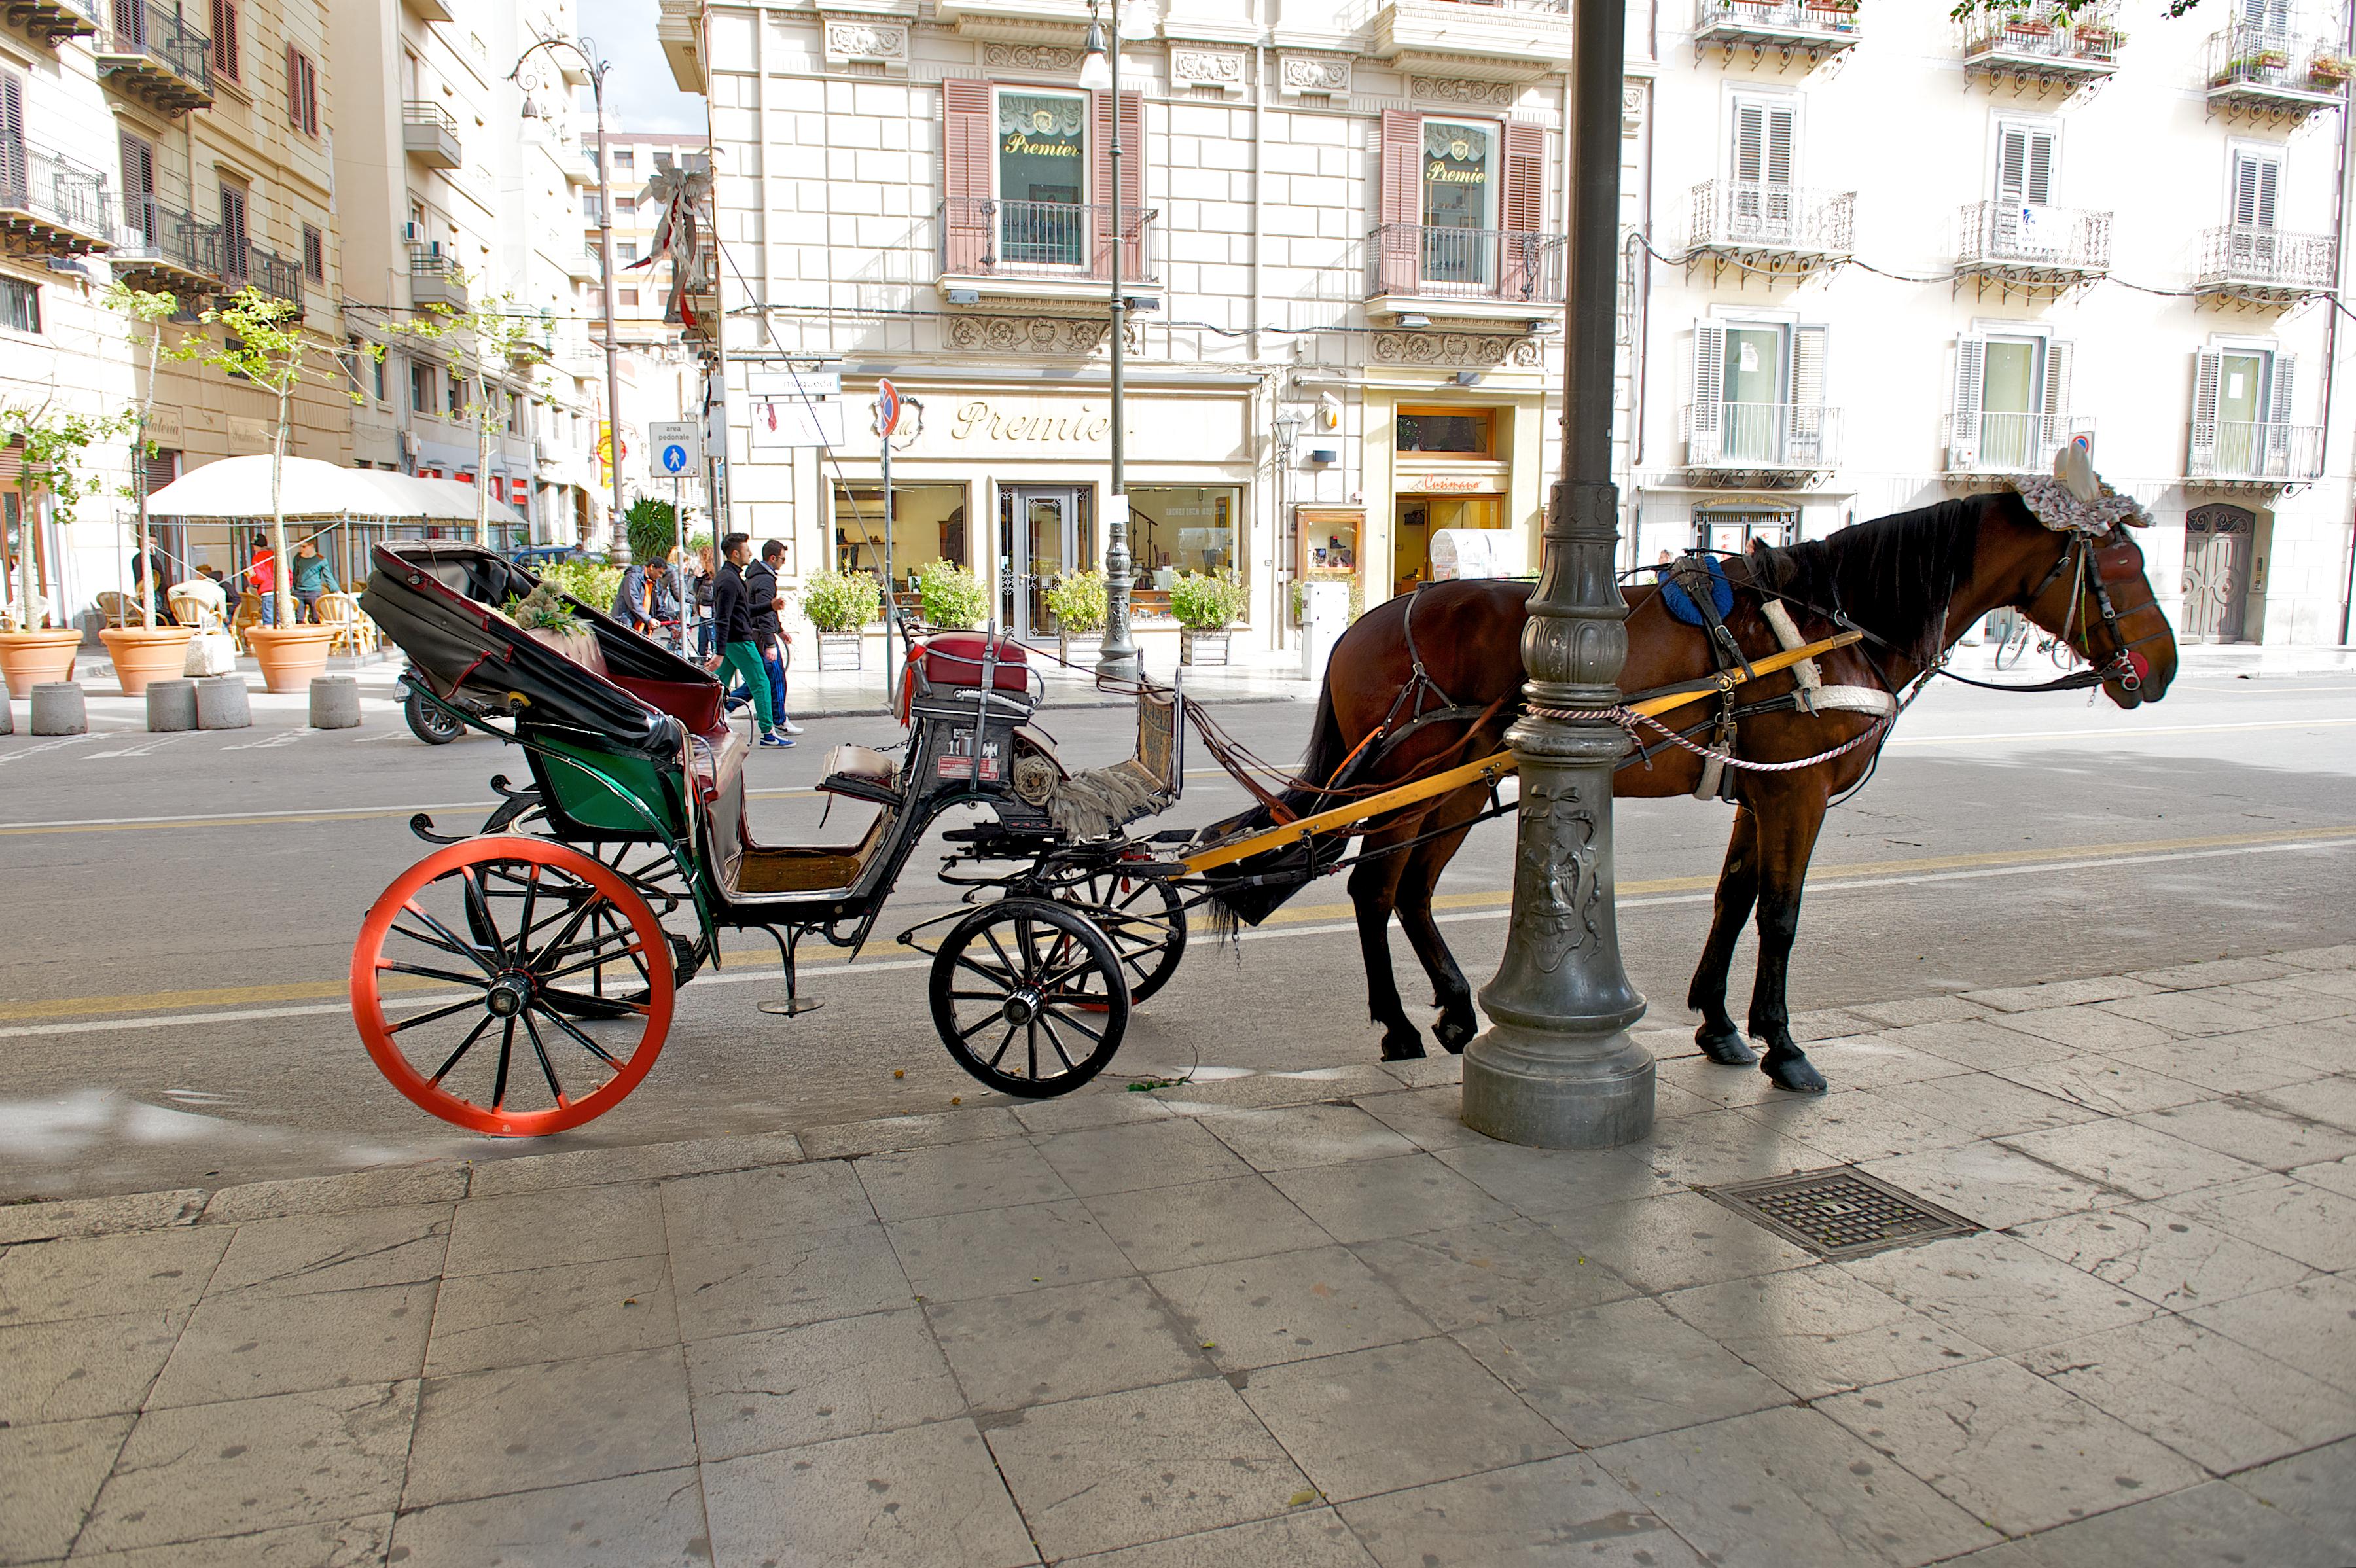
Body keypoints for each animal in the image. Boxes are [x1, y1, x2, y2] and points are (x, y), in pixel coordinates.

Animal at [1206, 485, 2177, 1088]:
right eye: (2122, 566)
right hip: (1418, 783)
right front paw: (1783, 1046)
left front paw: (1720, 1025)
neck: (1832, 625)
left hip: (1452, 788)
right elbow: (1780, 913)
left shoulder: (1767, 791)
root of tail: (1361, 621)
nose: (2163, 668)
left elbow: (1733, 899)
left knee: (1404, 892)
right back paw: (1405, 1023)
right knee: (1377, 887)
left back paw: (1443, 1011)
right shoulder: (1799, 795)